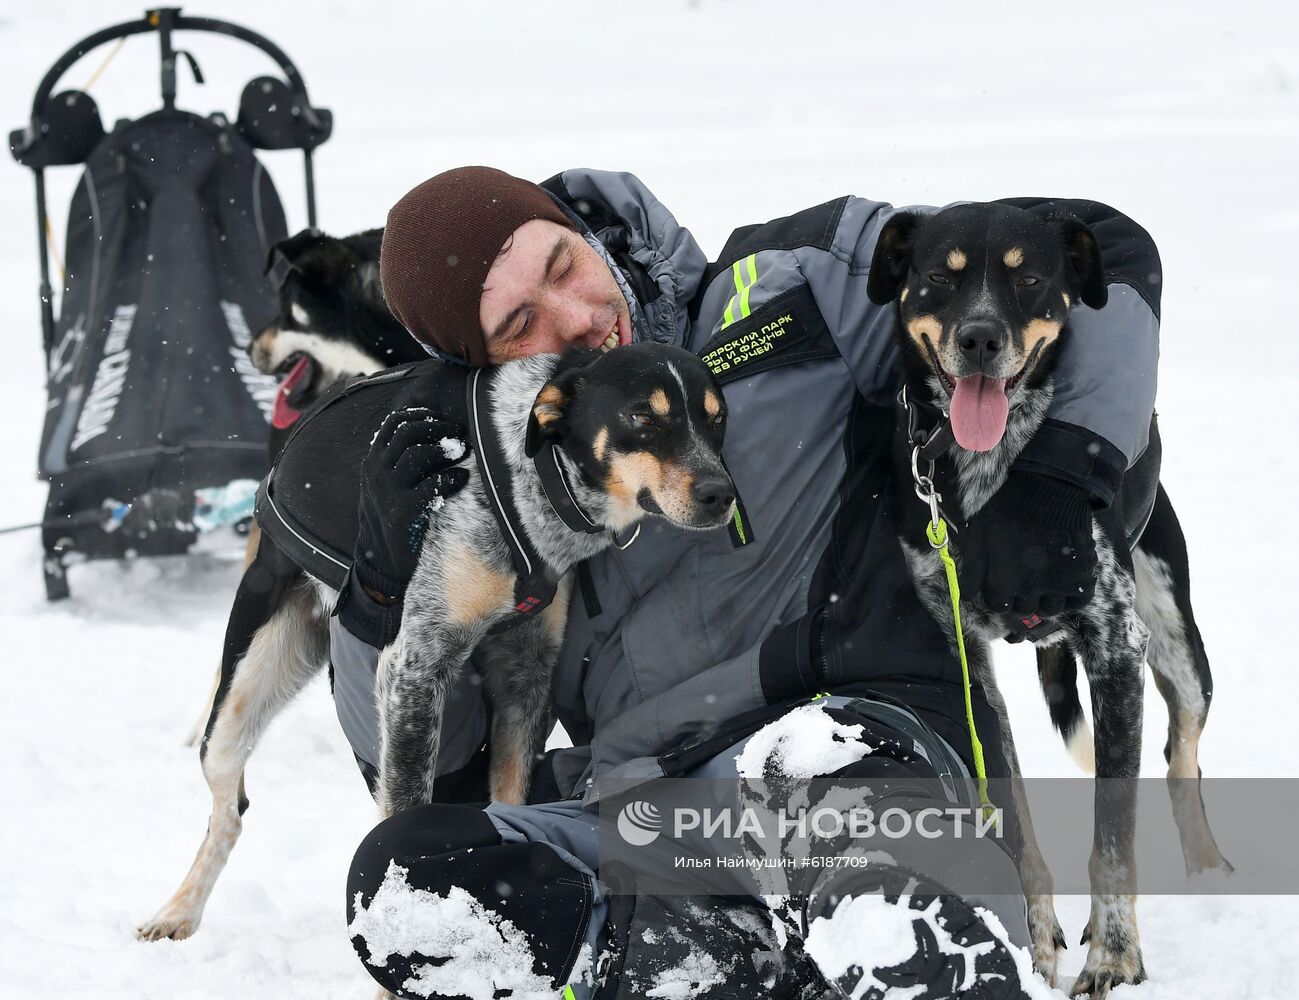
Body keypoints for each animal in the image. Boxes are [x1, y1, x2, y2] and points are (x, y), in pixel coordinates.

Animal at [142, 337, 737, 940]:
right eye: (642, 418)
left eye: (717, 420)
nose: (721, 493)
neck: (529, 473)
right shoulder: (415, 667)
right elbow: (401, 823)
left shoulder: (525, 675)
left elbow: (507, 800)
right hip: (238, 700)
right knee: (228, 811)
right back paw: (179, 910)